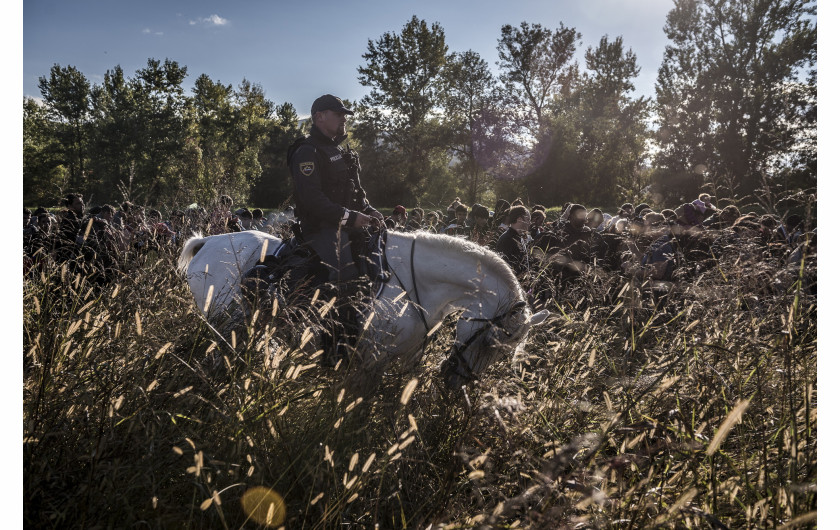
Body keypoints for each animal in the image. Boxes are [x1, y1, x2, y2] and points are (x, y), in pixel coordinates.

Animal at [177, 230, 548, 388]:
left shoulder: (407, 361)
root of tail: (209, 241)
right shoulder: (370, 363)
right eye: (491, 342)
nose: (457, 384)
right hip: (223, 326)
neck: (415, 285)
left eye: (503, 354)